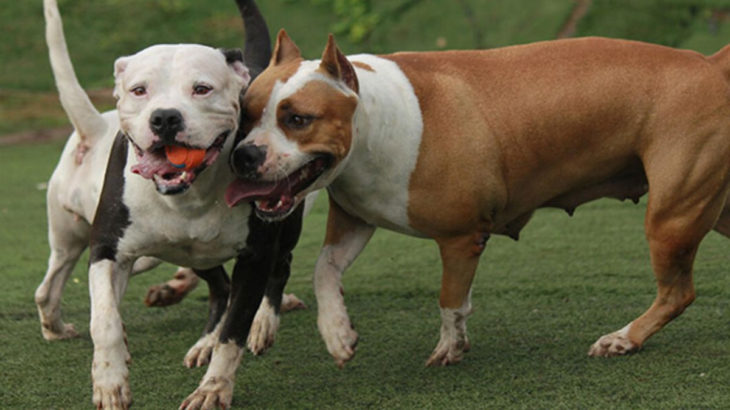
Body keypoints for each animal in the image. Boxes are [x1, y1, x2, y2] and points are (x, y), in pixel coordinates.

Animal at [228, 30, 728, 366]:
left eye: (297, 119)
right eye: (244, 114)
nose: (244, 155)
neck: (371, 118)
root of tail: (709, 62)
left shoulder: (460, 236)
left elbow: (450, 298)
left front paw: (450, 347)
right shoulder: (355, 218)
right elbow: (324, 269)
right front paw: (336, 333)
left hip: (671, 216)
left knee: (678, 292)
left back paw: (624, 338)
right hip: (710, 207)